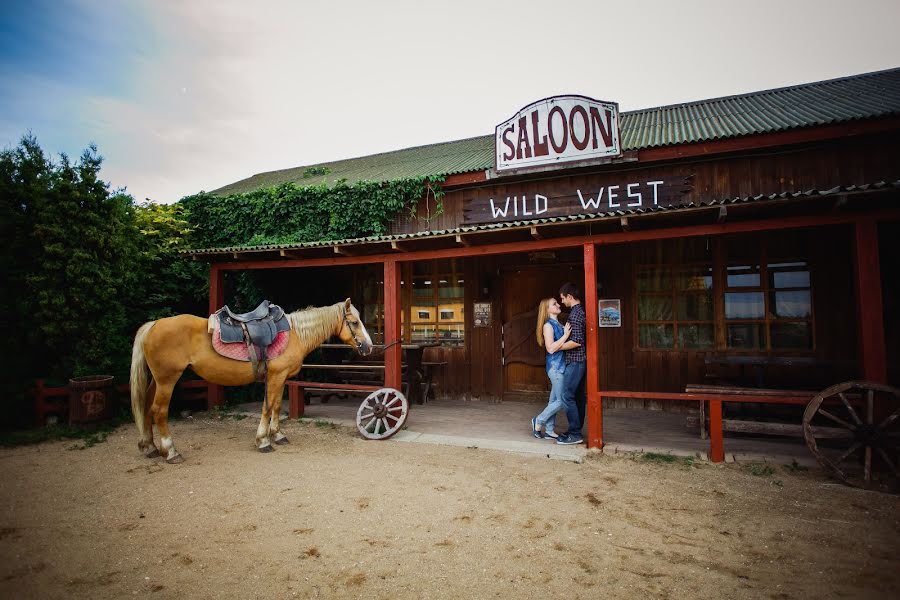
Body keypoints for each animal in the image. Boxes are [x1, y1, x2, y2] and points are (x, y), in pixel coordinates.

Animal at [129, 298, 372, 462]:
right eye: (354, 322)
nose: (368, 346)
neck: (294, 334)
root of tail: (153, 325)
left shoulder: (281, 378)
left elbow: (276, 406)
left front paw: (278, 435)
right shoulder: (276, 376)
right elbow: (267, 407)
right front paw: (263, 441)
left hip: (156, 381)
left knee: (145, 407)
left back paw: (150, 447)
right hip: (167, 380)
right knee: (159, 411)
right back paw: (170, 451)